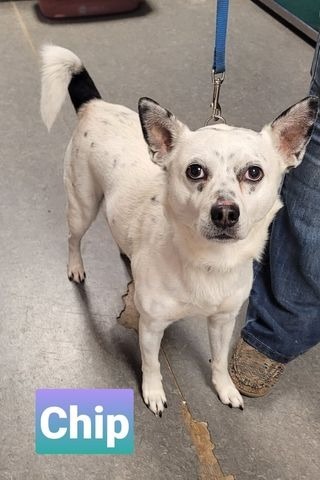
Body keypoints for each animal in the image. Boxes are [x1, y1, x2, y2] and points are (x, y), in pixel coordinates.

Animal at [40, 46, 318, 416]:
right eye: (195, 171)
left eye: (254, 173)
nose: (225, 212)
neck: (210, 262)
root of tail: (95, 105)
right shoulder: (150, 326)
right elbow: (152, 363)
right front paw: (154, 392)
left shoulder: (223, 321)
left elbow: (218, 362)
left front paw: (225, 389)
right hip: (82, 207)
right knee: (73, 239)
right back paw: (75, 266)